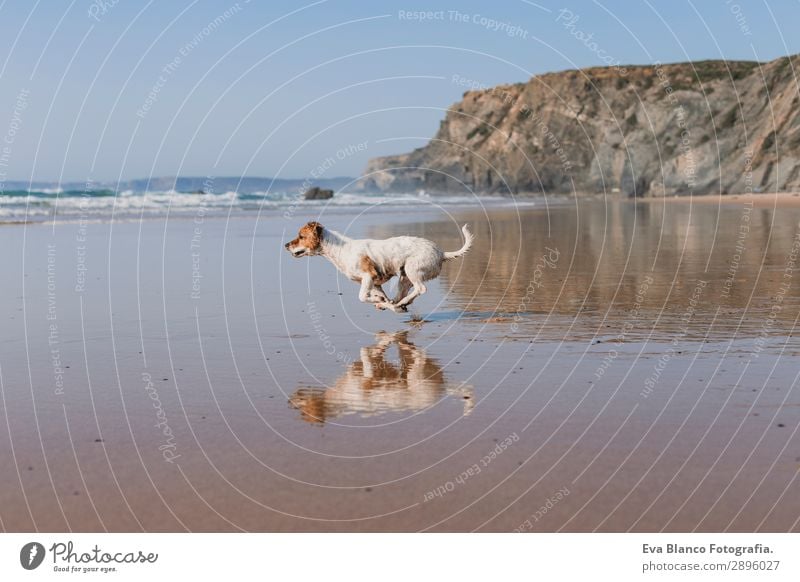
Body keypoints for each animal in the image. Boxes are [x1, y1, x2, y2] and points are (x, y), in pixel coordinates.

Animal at [286, 221, 472, 312]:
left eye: (301, 236)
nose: (286, 245)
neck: (340, 249)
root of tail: (441, 253)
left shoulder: (368, 276)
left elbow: (362, 297)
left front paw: (380, 302)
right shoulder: (374, 282)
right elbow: (379, 295)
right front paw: (382, 301)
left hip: (412, 269)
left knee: (420, 289)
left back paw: (400, 303)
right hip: (404, 277)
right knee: (402, 294)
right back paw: (396, 303)